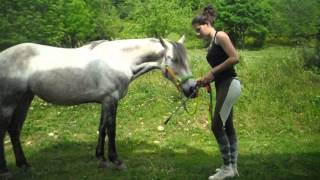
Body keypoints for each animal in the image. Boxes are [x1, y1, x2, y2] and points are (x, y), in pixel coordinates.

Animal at [0, 35, 198, 176]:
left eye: (186, 59)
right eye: (173, 59)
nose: (192, 89)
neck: (120, 59)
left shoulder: (105, 101)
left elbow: (102, 128)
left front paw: (101, 159)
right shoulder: (111, 99)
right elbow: (111, 129)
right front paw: (116, 161)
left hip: (24, 99)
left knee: (14, 131)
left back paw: (24, 165)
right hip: (9, 103)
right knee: (4, 131)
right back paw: (6, 170)